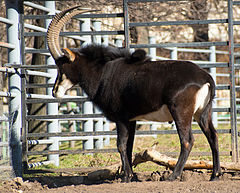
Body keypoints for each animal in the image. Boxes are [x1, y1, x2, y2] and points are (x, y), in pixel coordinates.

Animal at [46, 4, 221, 182]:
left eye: (62, 66)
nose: (55, 92)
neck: (103, 72)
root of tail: (206, 77)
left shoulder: (121, 118)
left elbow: (121, 145)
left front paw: (127, 176)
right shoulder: (131, 120)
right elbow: (129, 146)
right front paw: (132, 175)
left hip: (181, 113)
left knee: (187, 141)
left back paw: (174, 175)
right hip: (202, 113)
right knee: (212, 136)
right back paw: (215, 175)